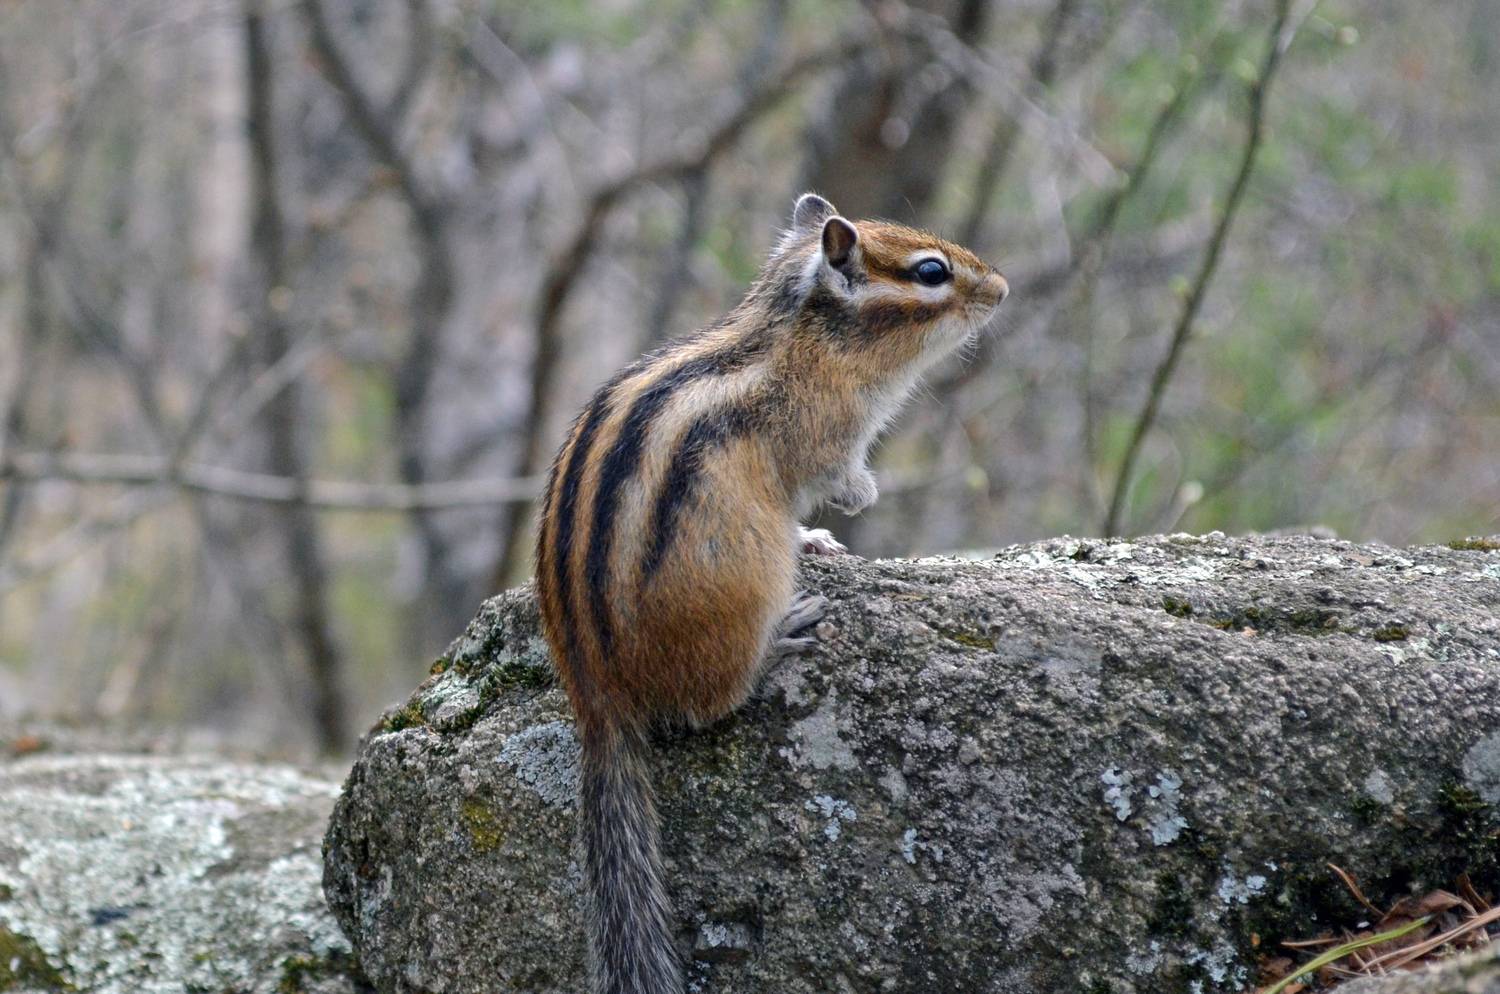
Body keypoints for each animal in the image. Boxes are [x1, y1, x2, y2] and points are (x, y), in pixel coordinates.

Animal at [535, 192, 1008, 994]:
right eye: (932, 272)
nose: (1002, 289)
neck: (802, 338)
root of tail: (595, 694)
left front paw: (818, 539)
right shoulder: (826, 436)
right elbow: (835, 476)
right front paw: (856, 502)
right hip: (738, 592)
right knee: (709, 702)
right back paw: (782, 639)